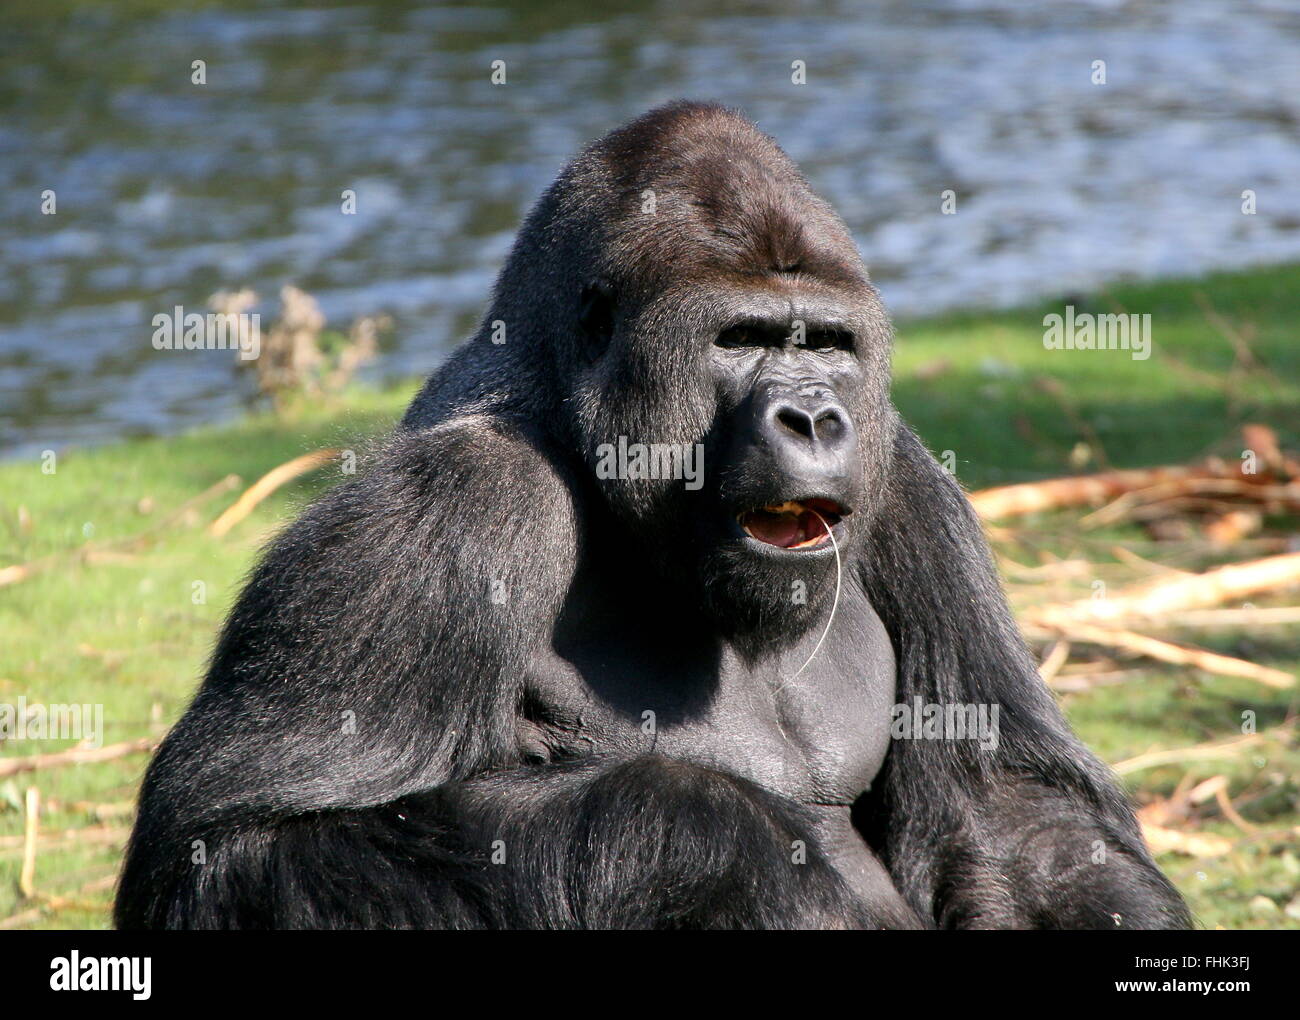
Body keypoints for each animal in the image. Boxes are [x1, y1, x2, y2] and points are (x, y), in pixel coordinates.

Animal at [119, 103, 1190, 930]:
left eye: (827, 344)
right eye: (742, 339)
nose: (815, 416)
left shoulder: (913, 483)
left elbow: (1012, 814)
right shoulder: (459, 503)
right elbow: (234, 848)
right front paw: (704, 833)